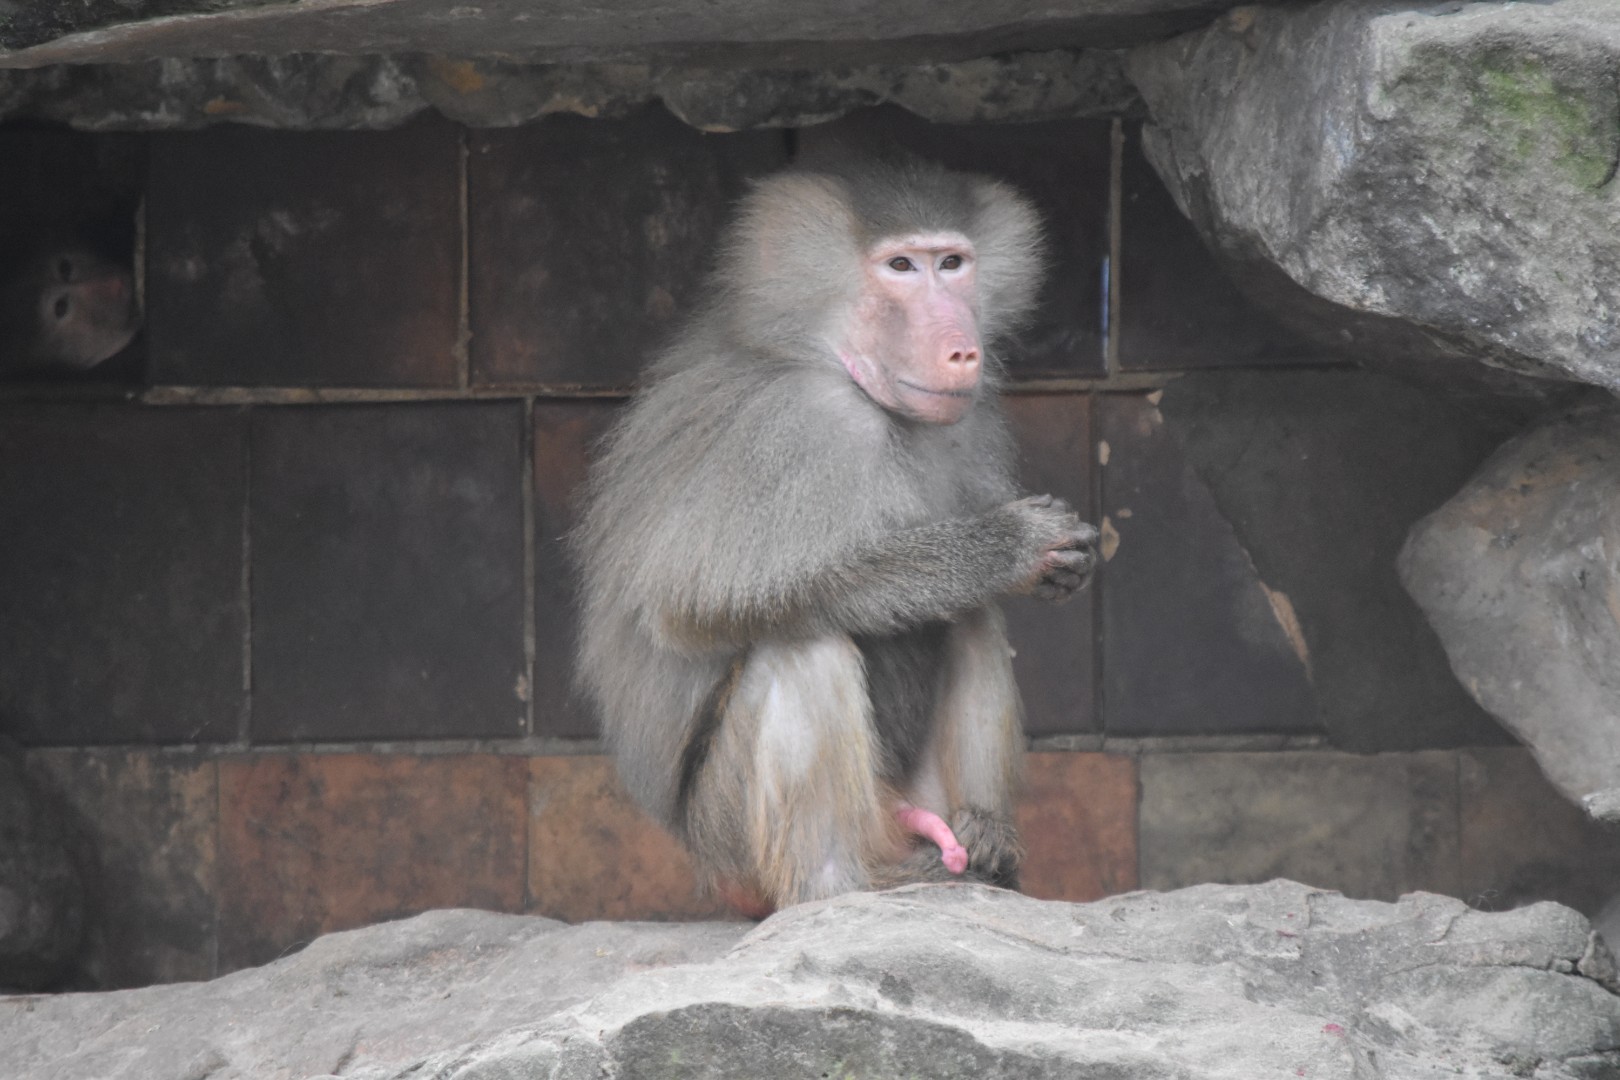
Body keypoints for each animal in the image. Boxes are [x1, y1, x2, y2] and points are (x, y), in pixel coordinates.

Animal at [573, 158, 1098, 916]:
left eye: (952, 263)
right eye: (901, 266)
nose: (963, 352)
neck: (826, 354)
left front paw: (1060, 565)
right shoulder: (799, 425)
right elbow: (696, 602)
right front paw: (1008, 547)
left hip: (902, 799)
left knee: (972, 619)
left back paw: (984, 844)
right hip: (731, 841)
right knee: (802, 646)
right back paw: (835, 889)